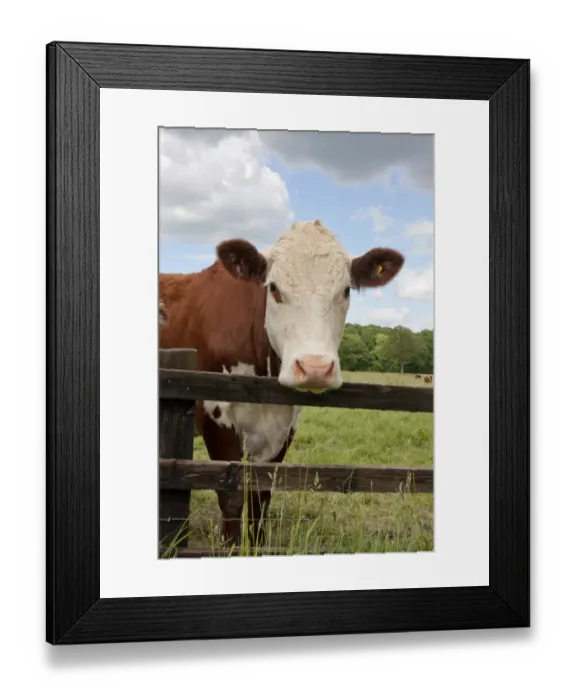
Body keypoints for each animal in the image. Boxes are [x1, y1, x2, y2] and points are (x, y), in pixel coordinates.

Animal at [159, 219, 405, 547]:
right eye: (274, 289)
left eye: (346, 291)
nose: (315, 367)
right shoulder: (212, 410)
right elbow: (231, 496)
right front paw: (230, 547)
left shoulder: (285, 425)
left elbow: (261, 497)